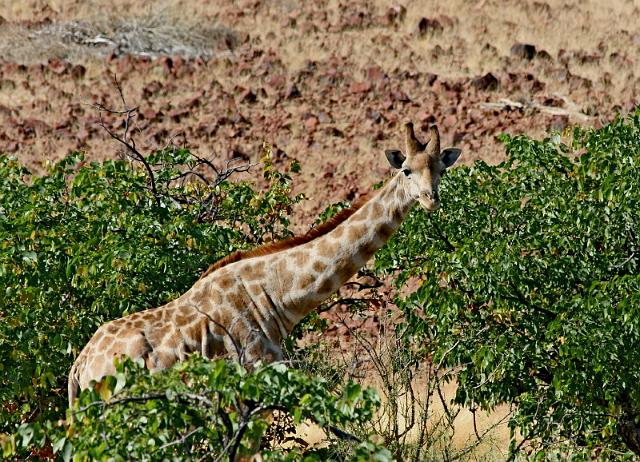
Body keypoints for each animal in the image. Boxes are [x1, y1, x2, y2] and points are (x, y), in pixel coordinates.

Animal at [69, 121, 460, 406]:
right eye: (406, 170)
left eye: (441, 169)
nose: (431, 199)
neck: (276, 297)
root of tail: (79, 367)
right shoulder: (252, 383)